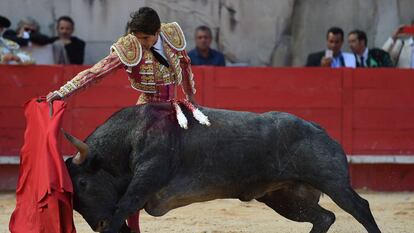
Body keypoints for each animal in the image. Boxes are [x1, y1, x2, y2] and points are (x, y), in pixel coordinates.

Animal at [62, 104, 382, 233]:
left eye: (84, 184)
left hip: (333, 182)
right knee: (324, 217)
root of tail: (319, 129)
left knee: (360, 207)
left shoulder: (144, 181)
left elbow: (120, 213)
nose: (97, 223)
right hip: (284, 198)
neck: (130, 136)